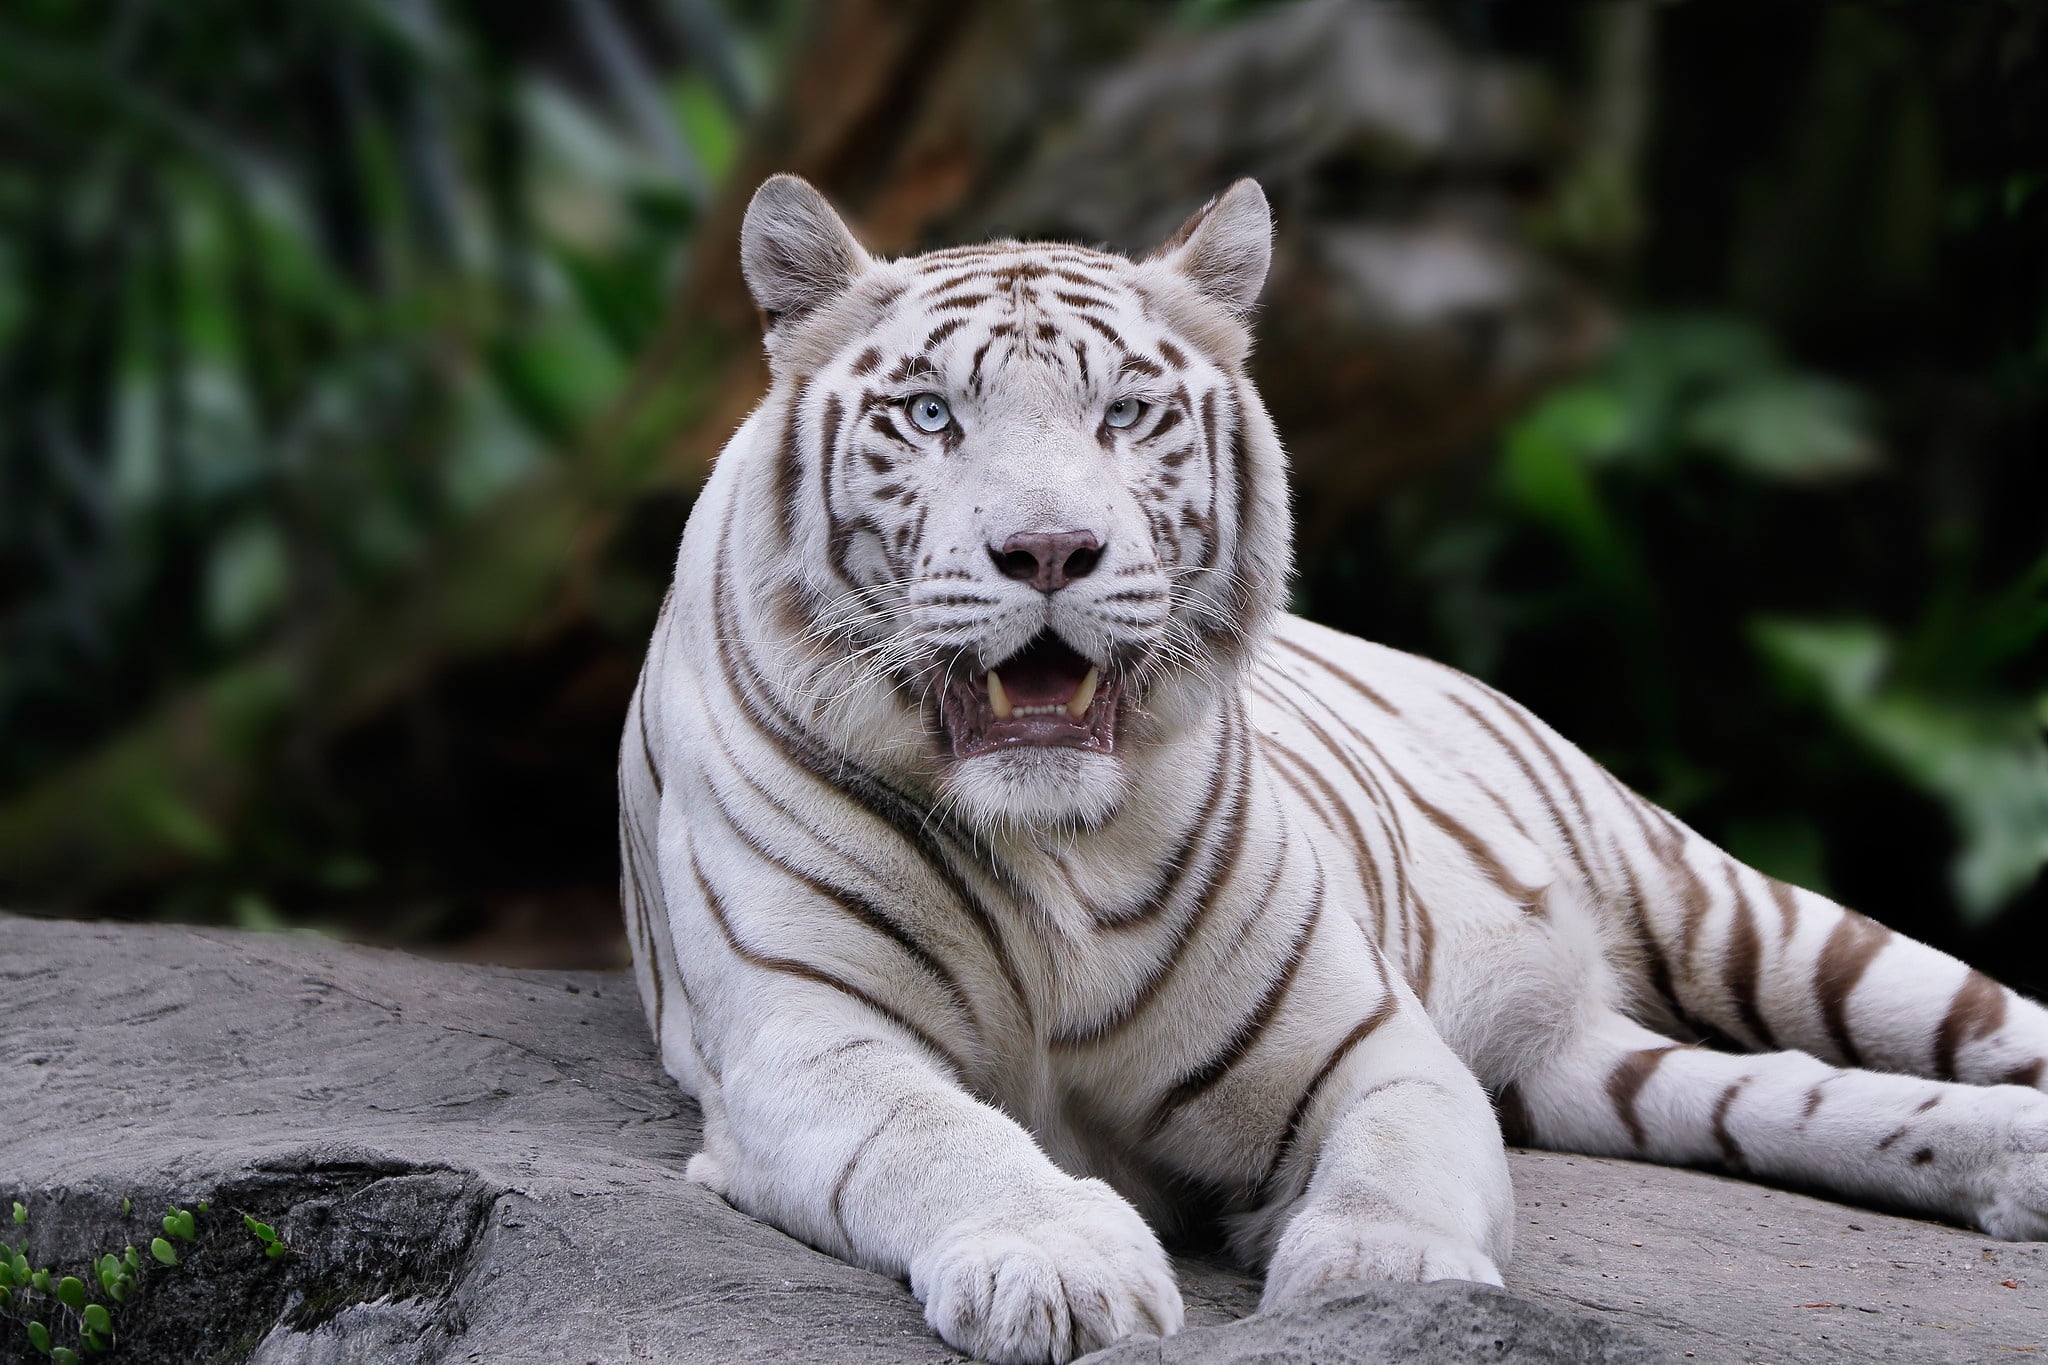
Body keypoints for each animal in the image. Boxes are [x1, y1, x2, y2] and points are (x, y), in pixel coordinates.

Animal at [617, 173, 2048, 1365]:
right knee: (1783, 1099)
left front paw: (1375, 1283)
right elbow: (942, 1141)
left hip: (1741, 915)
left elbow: (1393, 1163)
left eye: (1123, 414)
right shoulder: (809, 1035)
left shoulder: (1370, 1043)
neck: (1053, 844)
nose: (1048, 550)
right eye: (929, 416)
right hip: (1594, 1068)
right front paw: (1063, 1270)